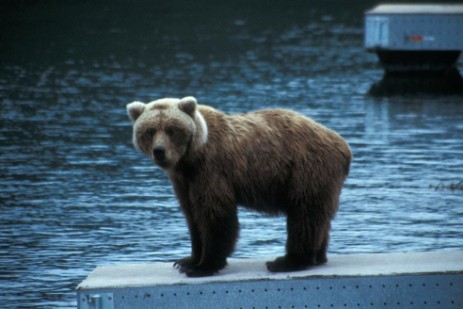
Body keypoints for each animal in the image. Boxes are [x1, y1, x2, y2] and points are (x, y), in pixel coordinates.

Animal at [127, 96, 352, 276]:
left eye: (171, 130)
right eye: (150, 131)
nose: (159, 151)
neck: (190, 158)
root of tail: (343, 145)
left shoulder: (211, 170)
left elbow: (215, 215)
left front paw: (204, 266)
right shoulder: (184, 181)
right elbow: (192, 216)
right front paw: (187, 261)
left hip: (306, 169)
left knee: (304, 215)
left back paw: (286, 261)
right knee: (318, 216)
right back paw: (318, 257)